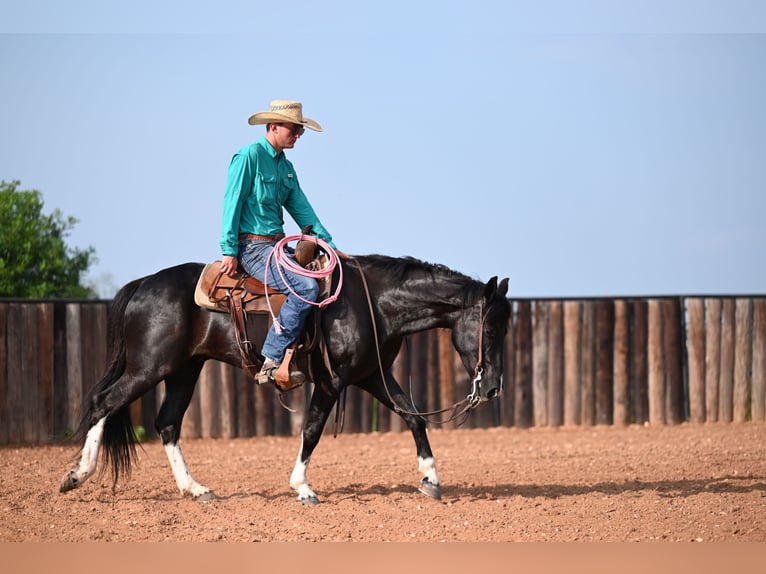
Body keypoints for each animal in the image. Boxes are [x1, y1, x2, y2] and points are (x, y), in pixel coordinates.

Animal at [60, 255, 512, 504]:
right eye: (491, 329)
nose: (492, 388)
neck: (373, 304)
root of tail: (144, 284)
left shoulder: (371, 376)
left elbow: (413, 416)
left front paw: (431, 480)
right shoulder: (332, 383)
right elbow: (311, 430)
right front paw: (303, 487)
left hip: (184, 371)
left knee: (167, 423)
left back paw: (197, 489)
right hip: (149, 368)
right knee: (103, 403)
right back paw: (76, 476)